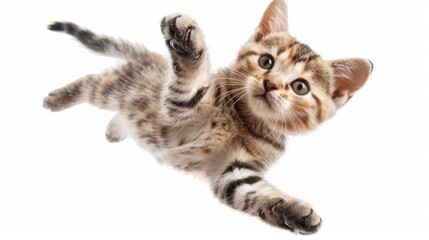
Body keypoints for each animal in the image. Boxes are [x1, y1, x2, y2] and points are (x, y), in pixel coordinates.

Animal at [44, 0, 372, 234]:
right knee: (94, 81)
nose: (270, 84)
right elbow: (190, 83)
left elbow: (252, 191)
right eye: (266, 62)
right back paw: (56, 99)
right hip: (117, 91)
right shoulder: (178, 110)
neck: (245, 119)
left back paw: (113, 129)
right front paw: (188, 44)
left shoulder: (231, 169)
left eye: (300, 87)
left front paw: (294, 211)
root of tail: (148, 58)